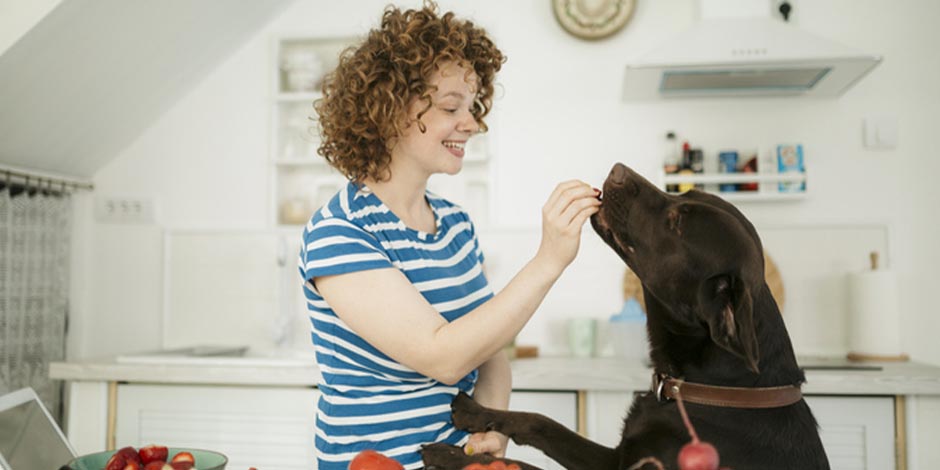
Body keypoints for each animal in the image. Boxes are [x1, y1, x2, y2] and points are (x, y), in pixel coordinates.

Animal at [426, 163, 828, 468]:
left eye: (676, 221)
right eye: (684, 196)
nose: (617, 170)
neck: (712, 389)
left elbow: (520, 464)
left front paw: (451, 457)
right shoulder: (612, 457)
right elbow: (543, 423)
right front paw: (475, 411)